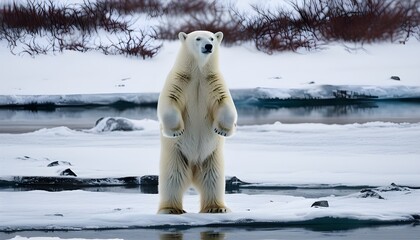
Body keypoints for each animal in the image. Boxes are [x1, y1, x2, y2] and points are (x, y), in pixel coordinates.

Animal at [157, 30, 236, 214]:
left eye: (212, 38)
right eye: (198, 38)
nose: (208, 46)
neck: (198, 72)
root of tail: (194, 169)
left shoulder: (213, 82)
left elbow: (225, 103)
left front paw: (222, 130)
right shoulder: (179, 81)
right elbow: (169, 101)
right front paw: (176, 130)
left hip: (212, 157)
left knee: (213, 180)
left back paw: (217, 208)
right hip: (176, 156)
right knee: (172, 179)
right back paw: (170, 209)